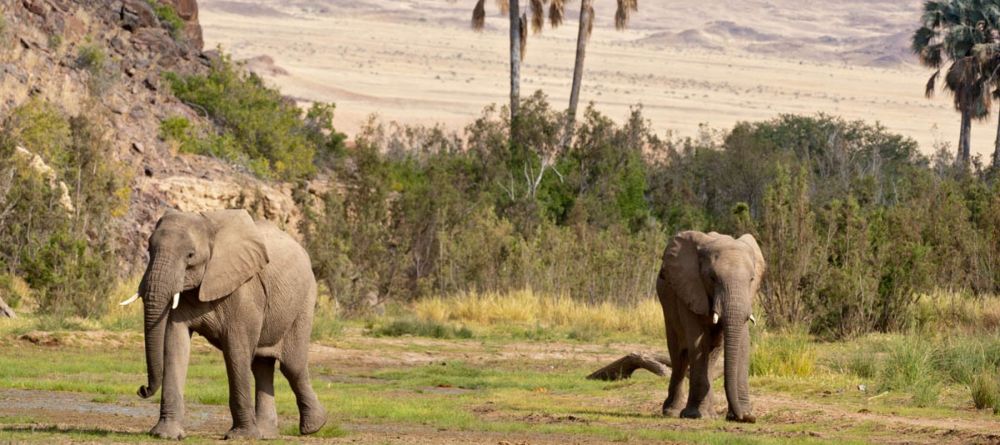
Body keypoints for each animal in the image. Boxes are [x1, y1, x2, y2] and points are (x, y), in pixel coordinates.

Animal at [121, 209, 327, 440]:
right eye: (149, 248)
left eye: (190, 255)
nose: (141, 389)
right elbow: (175, 344)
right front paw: (165, 435)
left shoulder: (243, 289)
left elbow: (236, 350)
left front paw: (241, 437)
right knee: (261, 365)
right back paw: (266, 434)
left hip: (304, 301)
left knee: (292, 366)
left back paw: (313, 427)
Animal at [655, 230, 764, 423]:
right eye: (712, 278)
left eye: (752, 279)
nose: (742, 417)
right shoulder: (689, 288)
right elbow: (698, 341)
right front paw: (693, 416)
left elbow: (743, 343)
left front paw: (746, 414)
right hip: (667, 302)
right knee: (679, 356)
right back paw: (672, 412)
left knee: (712, 354)